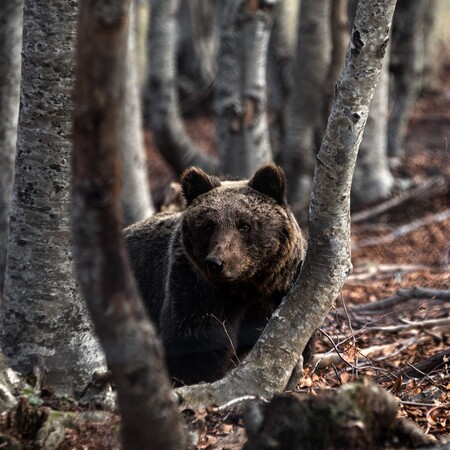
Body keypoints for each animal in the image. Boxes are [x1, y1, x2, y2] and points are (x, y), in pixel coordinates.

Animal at [125, 163, 312, 384]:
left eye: (244, 224)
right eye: (209, 225)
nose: (216, 263)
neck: (247, 286)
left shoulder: (280, 288)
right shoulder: (196, 289)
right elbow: (194, 344)